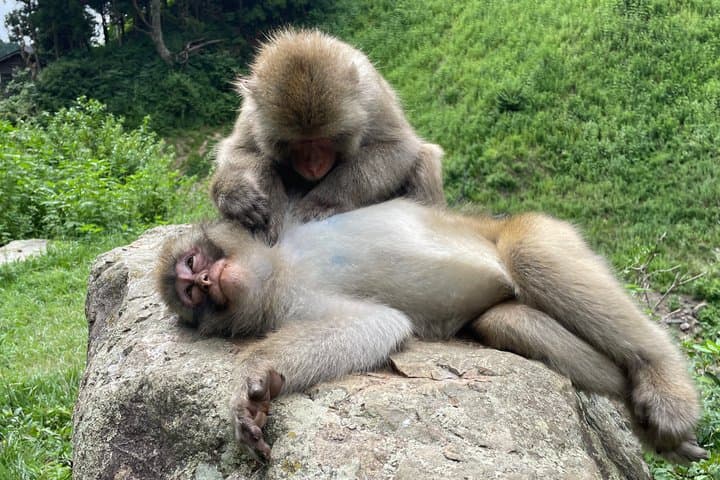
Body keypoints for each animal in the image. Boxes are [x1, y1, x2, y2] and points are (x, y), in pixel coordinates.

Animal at [155, 200, 707, 463]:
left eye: (194, 263)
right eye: (191, 295)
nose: (205, 282)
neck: (280, 268)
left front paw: (250, 380)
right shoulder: (291, 301)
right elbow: (377, 323)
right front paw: (259, 387)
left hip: (540, 229)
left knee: (530, 255)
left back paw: (663, 383)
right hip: (507, 302)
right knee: (505, 320)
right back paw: (649, 426)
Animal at [211, 29, 445, 243]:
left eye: (323, 140)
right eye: (296, 143)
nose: (313, 166)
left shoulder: (371, 98)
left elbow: (398, 147)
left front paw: (322, 202)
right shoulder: (251, 112)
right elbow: (238, 151)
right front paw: (245, 197)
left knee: (424, 157)